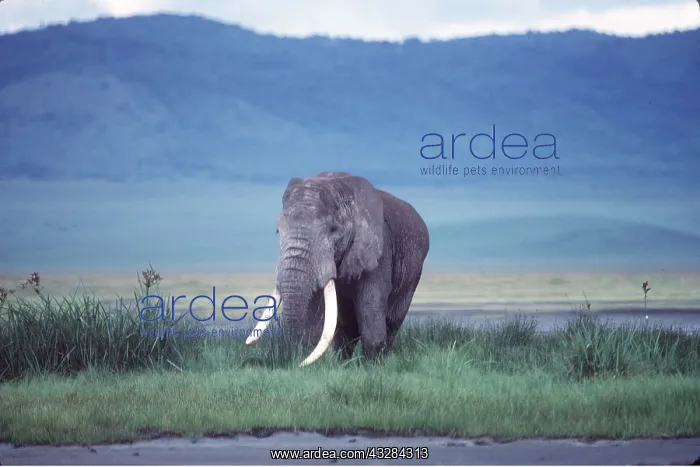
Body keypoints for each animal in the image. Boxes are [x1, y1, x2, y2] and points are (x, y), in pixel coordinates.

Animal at [246, 171, 430, 367]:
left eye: (333, 230)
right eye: (278, 231)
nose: (296, 362)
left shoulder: (379, 248)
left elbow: (370, 304)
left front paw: (372, 366)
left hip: (413, 273)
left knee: (392, 320)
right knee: (346, 327)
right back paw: (343, 362)